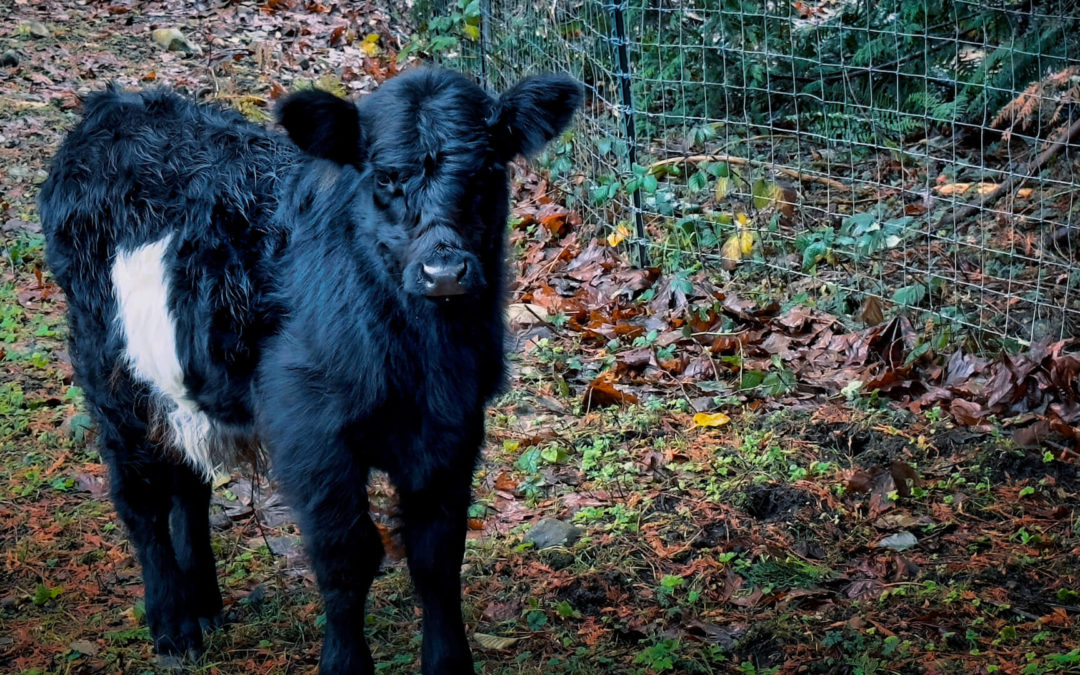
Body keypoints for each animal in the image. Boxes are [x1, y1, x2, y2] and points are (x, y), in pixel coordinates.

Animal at [39, 65, 583, 669]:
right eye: (384, 176)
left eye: (489, 169)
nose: (444, 271)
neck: (420, 356)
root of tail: (118, 105)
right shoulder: (313, 435)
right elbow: (346, 553)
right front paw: (344, 662)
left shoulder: (453, 426)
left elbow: (437, 554)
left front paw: (449, 663)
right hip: (109, 373)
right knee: (141, 496)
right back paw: (174, 626)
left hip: (185, 385)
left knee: (188, 483)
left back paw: (204, 603)